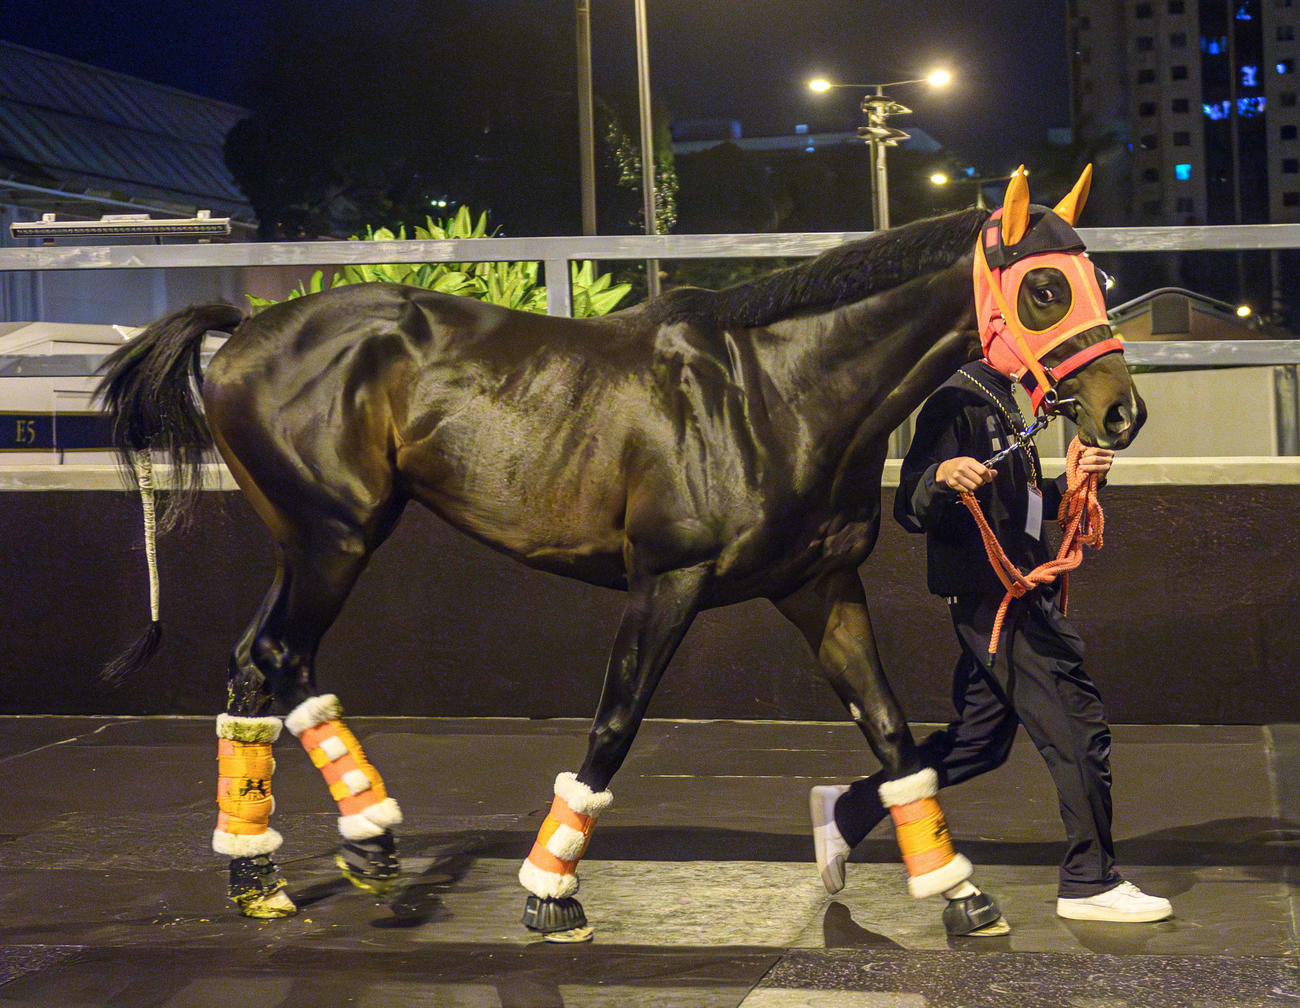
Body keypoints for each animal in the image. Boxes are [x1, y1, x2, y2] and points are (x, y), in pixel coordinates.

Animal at [97, 166, 1144, 941]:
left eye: (1099, 282)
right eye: (1043, 287)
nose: (1120, 414)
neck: (778, 392)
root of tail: (245, 332)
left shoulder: (820, 584)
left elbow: (889, 732)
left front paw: (958, 891)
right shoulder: (667, 582)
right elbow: (614, 725)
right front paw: (549, 894)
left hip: (309, 540)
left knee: (257, 664)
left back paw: (277, 871)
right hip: (334, 535)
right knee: (280, 657)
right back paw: (355, 846)